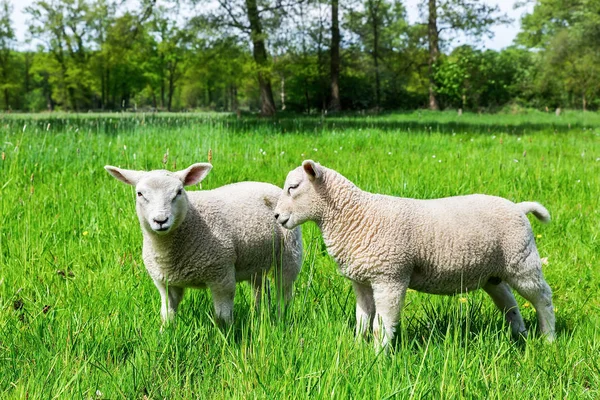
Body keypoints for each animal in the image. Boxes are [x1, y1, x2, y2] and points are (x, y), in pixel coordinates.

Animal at [105, 163, 302, 328]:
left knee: (284, 291)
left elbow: (223, 317)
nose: (160, 220)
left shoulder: (222, 276)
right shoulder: (164, 283)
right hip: (255, 260)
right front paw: (165, 334)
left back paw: (281, 319)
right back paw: (259, 313)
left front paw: (226, 338)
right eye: (140, 194)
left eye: (178, 192)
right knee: (260, 287)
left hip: (290, 253)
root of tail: (268, 185)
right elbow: (167, 315)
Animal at [274, 159, 556, 350]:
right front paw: (356, 348)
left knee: (543, 297)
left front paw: (379, 356)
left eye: (293, 187)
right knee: (509, 302)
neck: (356, 216)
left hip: (522, 261)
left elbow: (380, 325)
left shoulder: (390, 277)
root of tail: (518, 207)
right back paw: (519, 333)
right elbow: (362, 320)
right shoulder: (362, 281)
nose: (276, 216)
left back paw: (549, 337)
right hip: (493, 273)